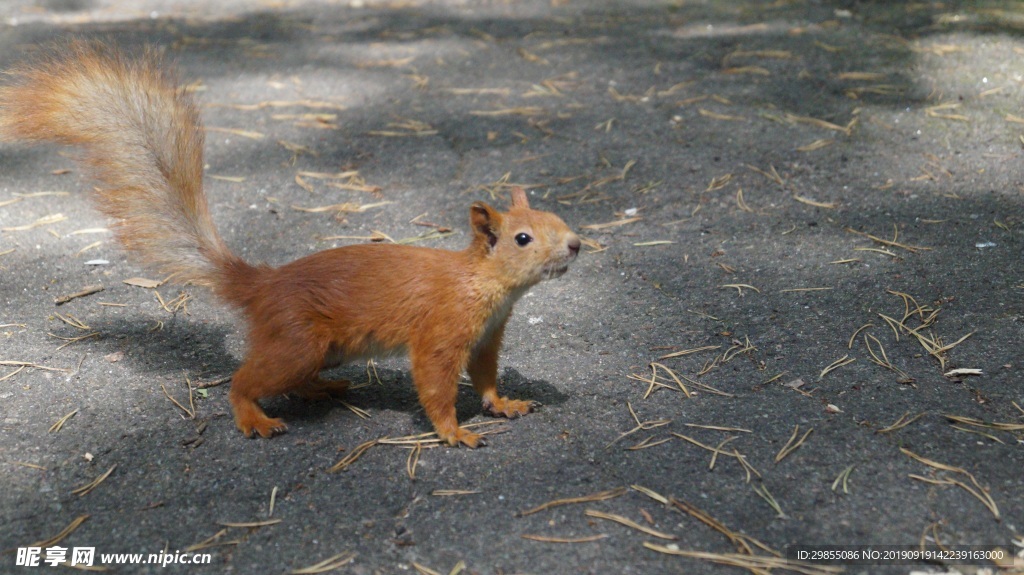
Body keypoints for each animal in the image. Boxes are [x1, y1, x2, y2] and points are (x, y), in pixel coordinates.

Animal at [0, 42, 581, 446]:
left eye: (557, 217)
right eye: (523, 238)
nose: (576, 246)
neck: (482, 282)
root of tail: (261, 286)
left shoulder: (486, 336)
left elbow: (484, 377)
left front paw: (504, 403)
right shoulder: (442, 330)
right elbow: (436, 383)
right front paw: (454, 431)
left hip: (321, 351)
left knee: (291, 379)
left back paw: (319, 390)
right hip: (299, 341)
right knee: (244, 379)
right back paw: (254, 416)